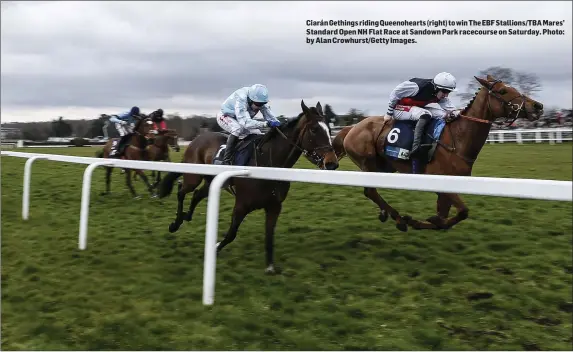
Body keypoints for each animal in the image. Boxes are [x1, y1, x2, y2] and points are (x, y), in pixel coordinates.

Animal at [156, 100, 338, 274]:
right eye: (314, 129)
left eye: (329, 129)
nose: (332, 163)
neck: (269, 166)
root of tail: (197, 139)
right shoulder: (242, 205)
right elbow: (231, 234)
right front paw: (214, 248)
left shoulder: (274, 206)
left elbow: (269, 235)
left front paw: (270, 267)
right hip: (193, 177)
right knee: (181, 190)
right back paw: (175, 223)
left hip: (210, 181)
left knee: (196, 195)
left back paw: (186, 216)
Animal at [338, 75, 544, 231]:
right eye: (502, 91)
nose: (537, 106)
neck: (457, 139)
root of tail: (352, 128)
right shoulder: (442, 183)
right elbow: (461, 212)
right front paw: (415, 220)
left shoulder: (448, 186)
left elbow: (445, 218)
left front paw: (425, 221)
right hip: (368, 162)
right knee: (371, 191)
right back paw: (398, 218)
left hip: (385, 167)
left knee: (371, 190)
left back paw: (387, 214)